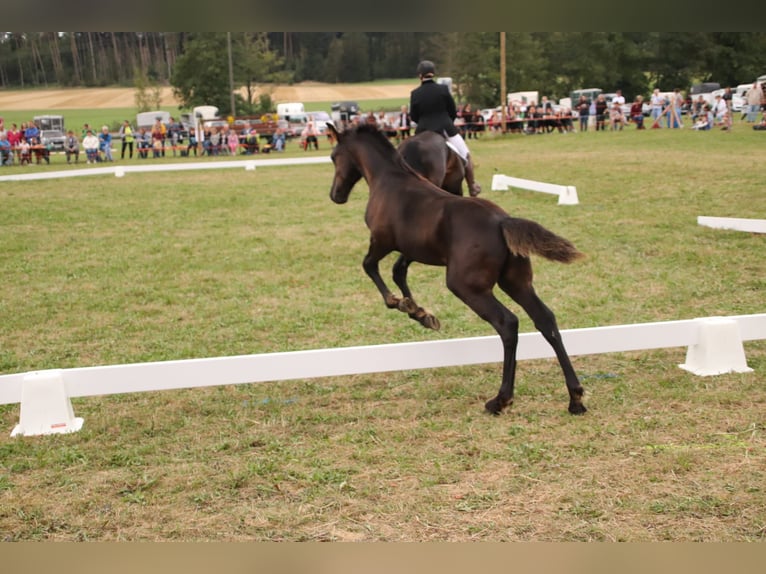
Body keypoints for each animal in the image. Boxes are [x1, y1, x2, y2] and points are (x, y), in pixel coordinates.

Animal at [328, 124, 588, 416]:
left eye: (334, 156)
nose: (336, 195)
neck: (390, 180)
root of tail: (502, 221)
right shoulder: (413, 249)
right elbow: (398, 271)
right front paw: (420, 313)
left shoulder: (382, 242)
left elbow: (370, 266)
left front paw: (399, 303)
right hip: (517, 283)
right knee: (545, 320)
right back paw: (575, 398)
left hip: (466, 287)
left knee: (508, 324)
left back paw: (500, 399)